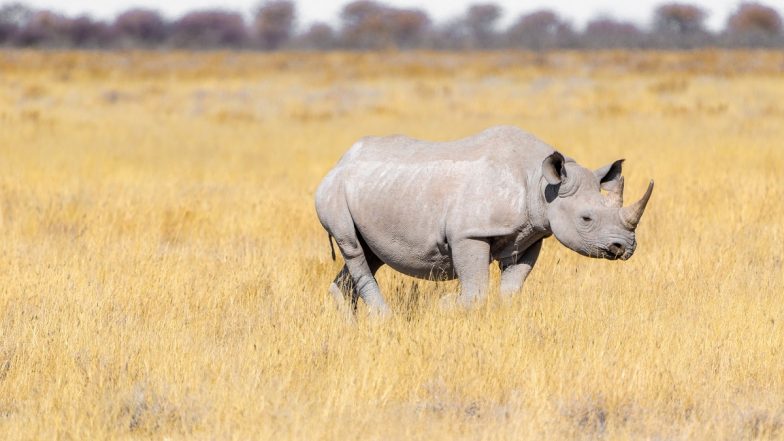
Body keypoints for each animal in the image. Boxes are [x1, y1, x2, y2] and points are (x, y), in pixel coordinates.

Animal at [315, 126, 653, 315]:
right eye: (586, 218)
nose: (625, 248)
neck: (541, 184)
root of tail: (339, 162)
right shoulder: (469, 233)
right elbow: (476, 292)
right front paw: (444, 307)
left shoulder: (531, 234)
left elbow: (511, 289)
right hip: (334, 191)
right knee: (353, 248)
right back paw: (383, 318)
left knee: (370, 254)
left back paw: (349, 323)